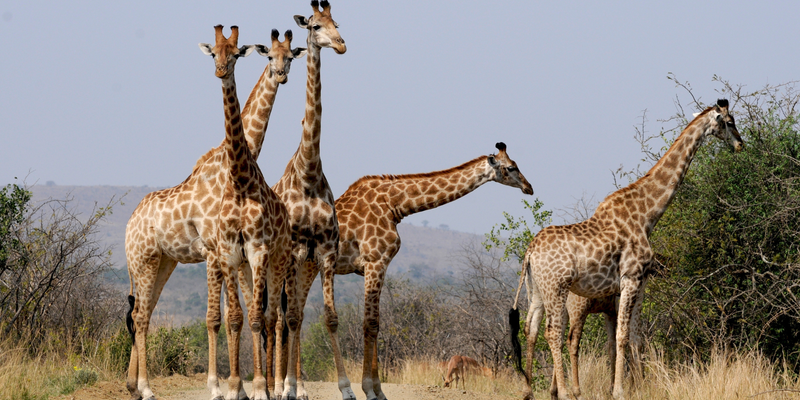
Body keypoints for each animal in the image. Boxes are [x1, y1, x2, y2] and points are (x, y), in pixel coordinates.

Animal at [124, 25, 300, 400]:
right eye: (270, 56)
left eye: (290, 57)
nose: (281, 75)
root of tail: (129, 223)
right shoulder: (213, 251)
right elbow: (215, 318)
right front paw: (218, 386)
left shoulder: (229, 253)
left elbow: (234, 314)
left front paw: (237, 386)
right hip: (143, 260)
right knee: (141, 316)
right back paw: (145, 388)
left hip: (163, 262)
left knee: (143, 312)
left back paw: (133, 384)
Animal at [331, 142, 533, 400]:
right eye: (511, 167)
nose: (529, 188)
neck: (394, 204)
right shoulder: (375, 261)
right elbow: (371, 324)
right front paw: (370, 389)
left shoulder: (375, 265)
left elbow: (375, 323)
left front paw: (378, 390)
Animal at [517, 99, 742, 400]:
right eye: (729, 122)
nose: (740, 144)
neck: (647, 215)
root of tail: (530, 252)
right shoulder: (632, 278)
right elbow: (622, 336)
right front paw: (620, 390)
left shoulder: (636, 282)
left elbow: (632, 337)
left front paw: (636, 386)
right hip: (557, 287)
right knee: (553, 333)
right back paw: (565, 393)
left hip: (537, 290)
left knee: (530, 329)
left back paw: (529, 390)